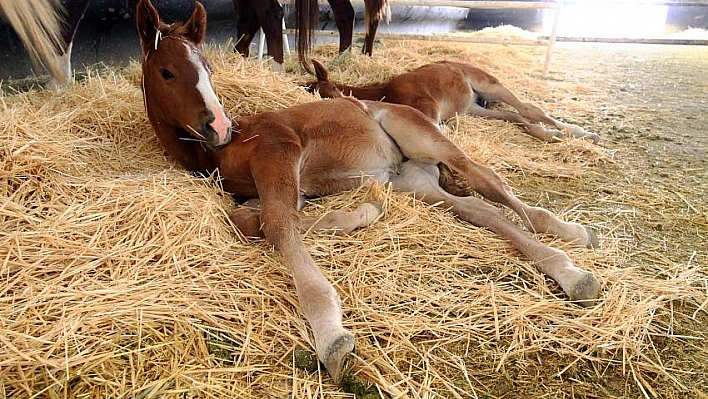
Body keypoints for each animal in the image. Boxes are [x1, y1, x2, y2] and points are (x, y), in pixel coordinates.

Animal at [302, 59, 600, 144]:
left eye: (328, 90)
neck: (384, 91)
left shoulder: (428, 106)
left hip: (489, 83)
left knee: (528, 108)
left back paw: (581, 133)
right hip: (472, 107)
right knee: (515, 116)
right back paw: (549, 134)